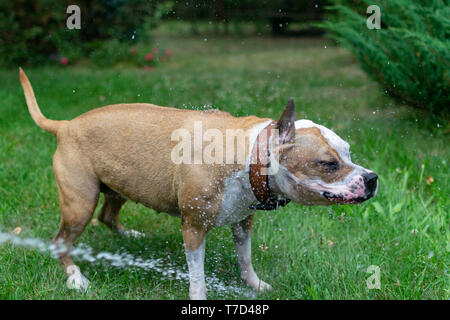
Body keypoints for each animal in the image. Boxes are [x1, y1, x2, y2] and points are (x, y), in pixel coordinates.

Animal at [19, 68, 376, 300]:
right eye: (328, 164)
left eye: (348, 152)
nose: (372, 178)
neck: (247, 153)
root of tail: (65, 125)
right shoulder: (193, 228)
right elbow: (198, 274)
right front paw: (200, 296)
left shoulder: (243, 220)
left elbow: (245, 258)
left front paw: (254, 285)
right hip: (79, 204)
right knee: (61, 241)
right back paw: (75, 279)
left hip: (118, 186)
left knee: (107, 215)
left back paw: (128, 236)